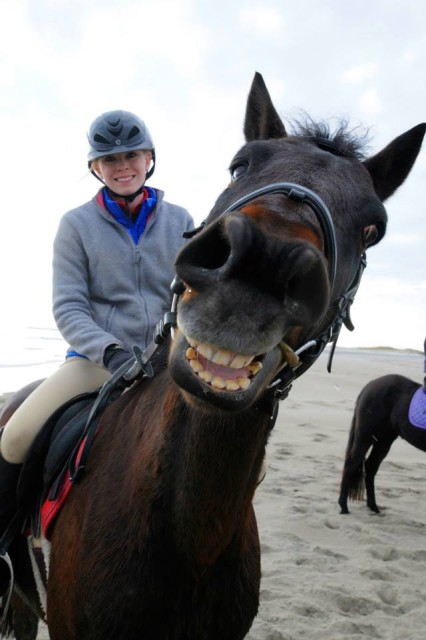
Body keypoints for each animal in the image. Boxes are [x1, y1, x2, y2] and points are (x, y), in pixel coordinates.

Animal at [338, 372, 424, 512]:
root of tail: (370, 385)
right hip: (366, 437)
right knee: (352, 464)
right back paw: (344, 507)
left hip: (384, 441)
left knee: (370, 466)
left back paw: (373, 506)